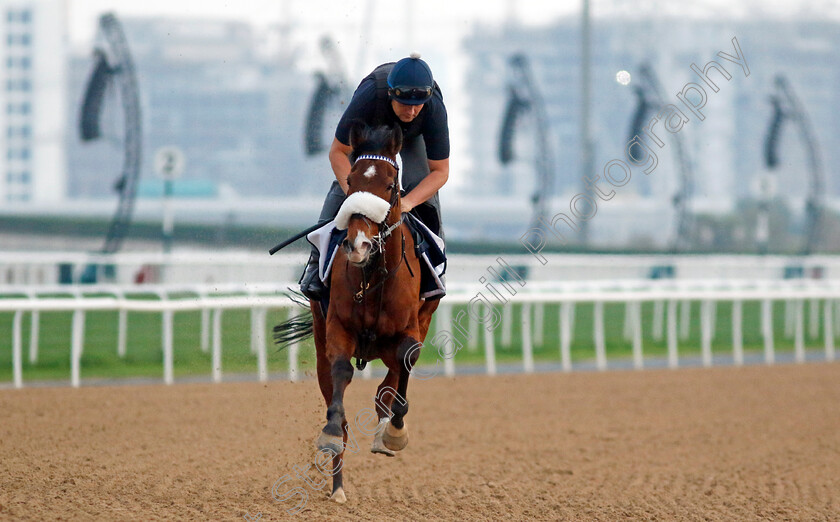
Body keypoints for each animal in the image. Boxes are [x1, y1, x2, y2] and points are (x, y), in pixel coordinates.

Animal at [278, 121, 442, 500]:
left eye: (390, 185)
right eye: (351, 182)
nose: (359, 245)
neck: (376, 275)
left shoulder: (412, 326)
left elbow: (405, 364)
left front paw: (394, 432)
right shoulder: (339, 327)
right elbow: (340, 377)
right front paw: (331, 434)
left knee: (395, 373)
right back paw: (338, 486)